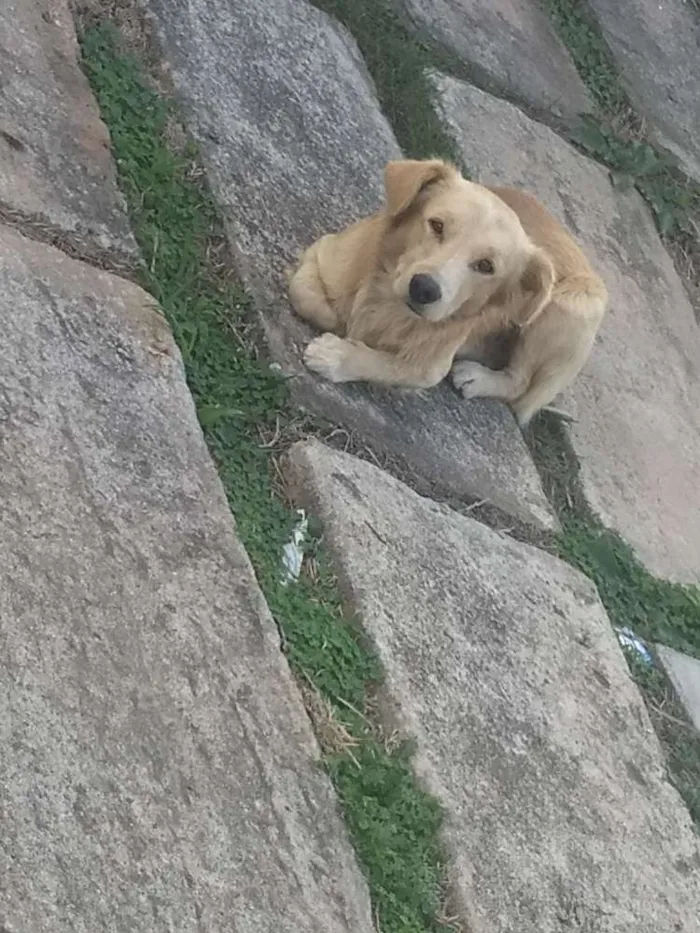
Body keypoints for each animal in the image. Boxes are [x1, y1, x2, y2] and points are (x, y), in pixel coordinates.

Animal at [288, 158, 608, 424]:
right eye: (437, 225)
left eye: (486, 266)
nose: (423, 289)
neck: (389, 306)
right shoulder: (323, 252)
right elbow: (304, 295)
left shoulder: (432, 366)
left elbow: (387, 364)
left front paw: (336, 356)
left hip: (568, 306)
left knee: (520, 383)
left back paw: (477, 378)